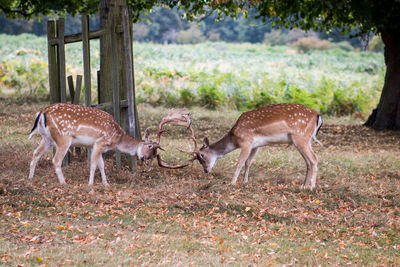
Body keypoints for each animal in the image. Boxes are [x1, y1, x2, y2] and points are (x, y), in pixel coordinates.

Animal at [28, 103, 188, 187]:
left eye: (153, 155)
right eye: (149, 147)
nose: (143, 158)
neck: (116, 138)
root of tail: (42, 112)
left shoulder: (95, 146)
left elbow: (102, 164)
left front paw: (106, 183)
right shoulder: (99, 142)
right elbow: (93, 164)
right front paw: (90, 184)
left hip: (47, 138)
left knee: (35, 153)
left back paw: (30, 178)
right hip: (63, 138)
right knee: (56, 160)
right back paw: (64, 183)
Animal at [180, 103, 324, 191]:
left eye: (202, 155)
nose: (206, 170)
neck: (234, 139)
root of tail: (318, 116)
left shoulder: (246, 141)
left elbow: (240, 161)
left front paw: (232, 182)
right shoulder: (256, 145)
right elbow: (248, 162)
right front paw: (245, 181)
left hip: (300, 137)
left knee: (314, 159)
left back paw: (311, 187)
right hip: (305, 140)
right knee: (308, 161)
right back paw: (303, 186)